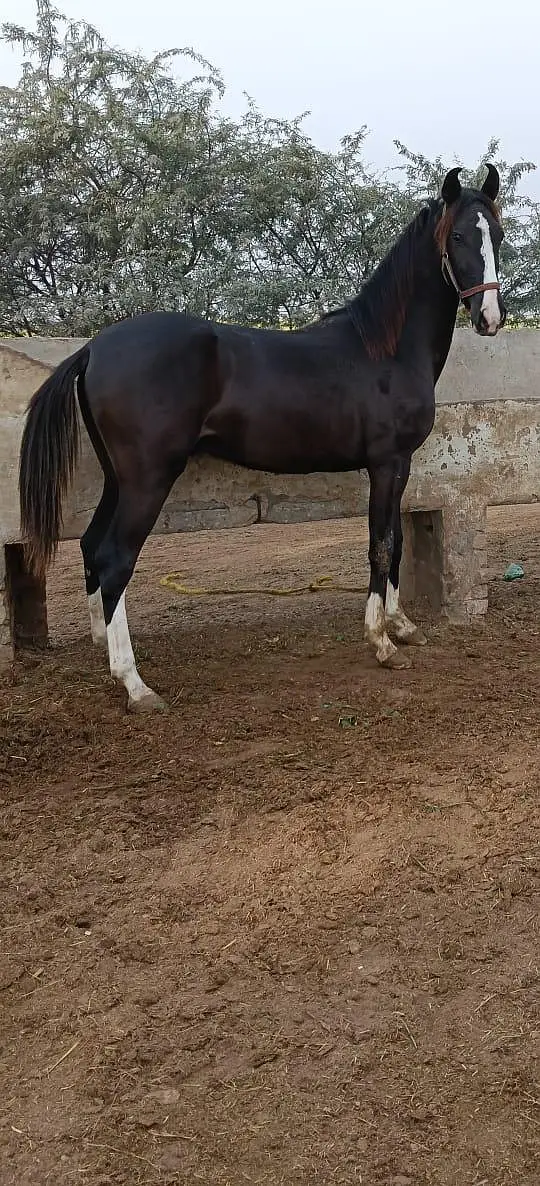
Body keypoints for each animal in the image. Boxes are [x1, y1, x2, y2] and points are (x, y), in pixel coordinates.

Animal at [19, 164, 506, 713]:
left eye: (497, 234)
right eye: (459, 236)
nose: (490, 317)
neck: (385, 349)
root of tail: (94, 348)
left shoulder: (396, 466)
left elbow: (396, 541)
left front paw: (402, 625)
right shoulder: (387, 462)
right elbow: (380, 544)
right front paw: (381, 642)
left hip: (117, 478)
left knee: (91, 549)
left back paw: (104, 644)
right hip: (147, 480)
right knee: (115, 558)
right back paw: (135, 683)